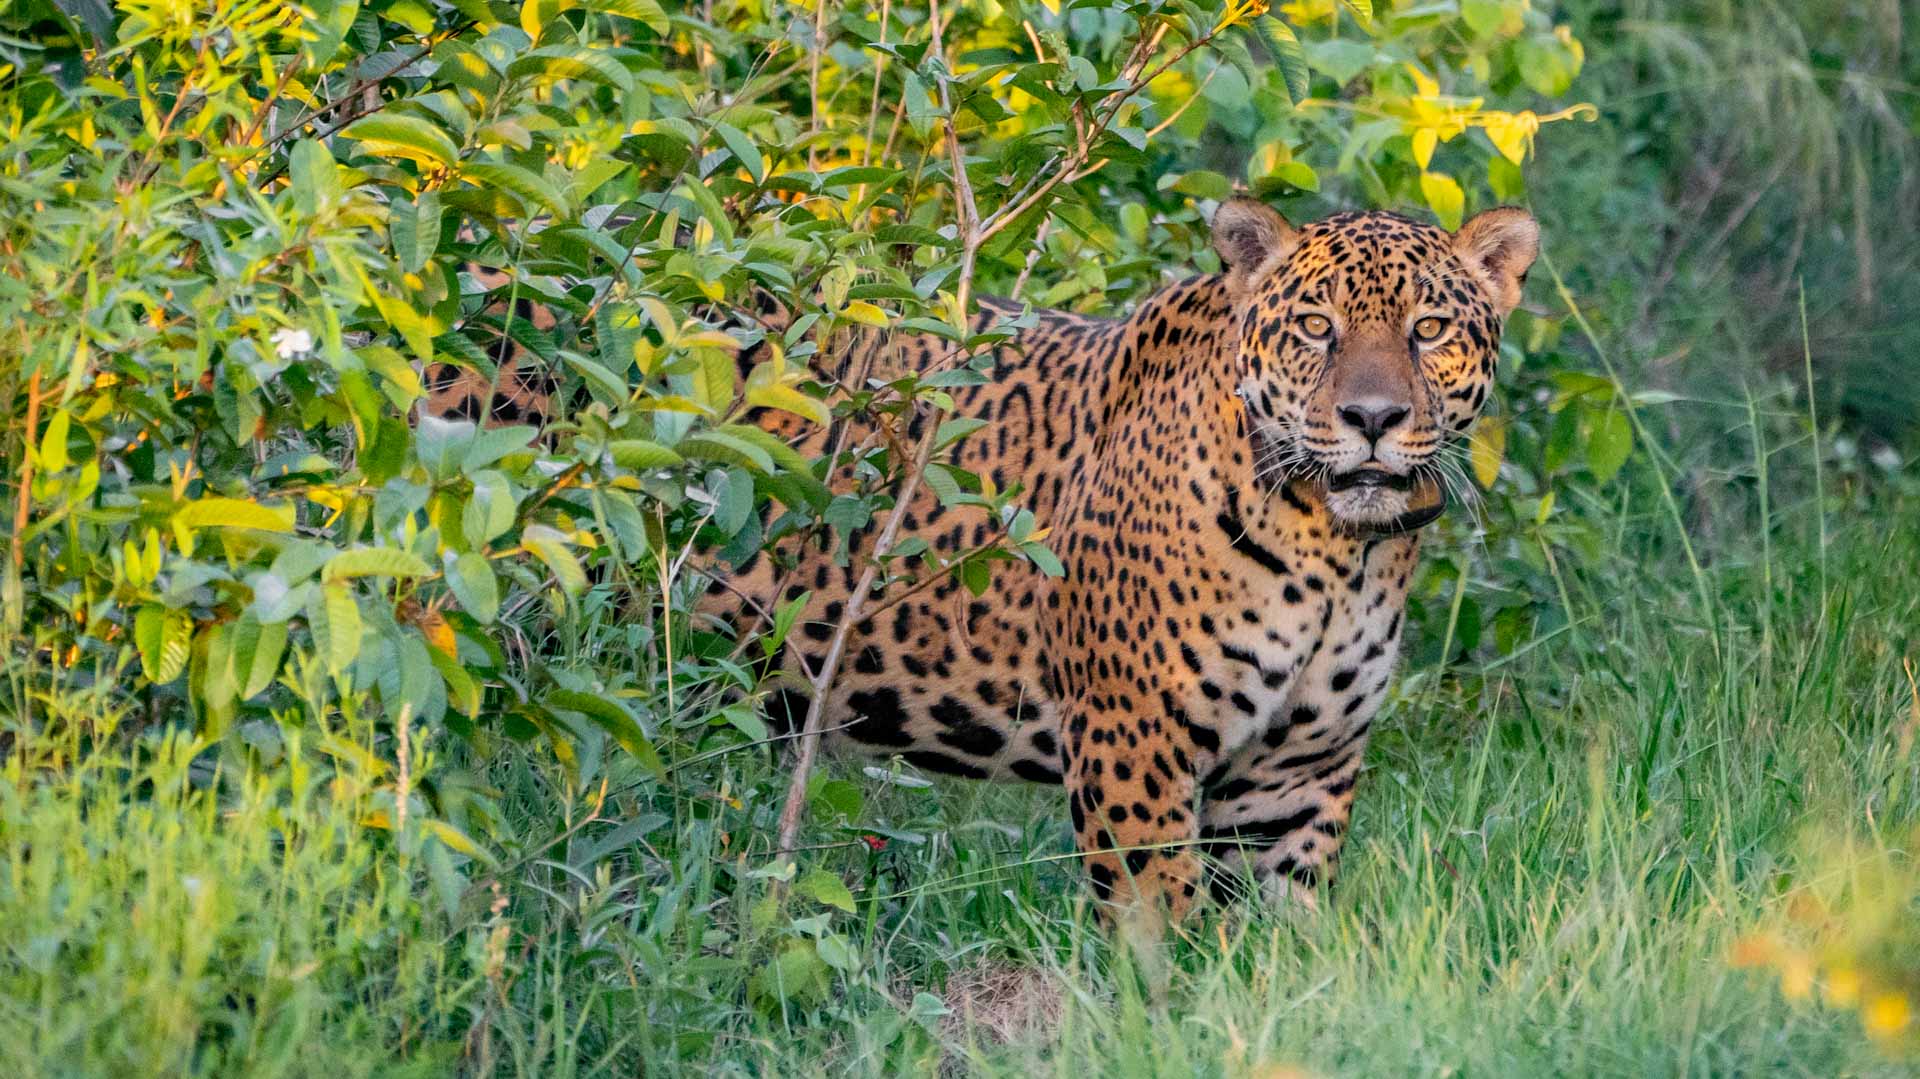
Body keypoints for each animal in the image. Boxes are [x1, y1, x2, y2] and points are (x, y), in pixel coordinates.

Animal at [424, 198, 1539, 925]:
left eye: (1428, 328)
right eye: (1315, 326)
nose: (1372, 418)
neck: (1336, 552)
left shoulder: (1299, 772)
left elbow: (1279, 936)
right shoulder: (1135, 741)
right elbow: (1160, 924)